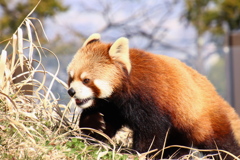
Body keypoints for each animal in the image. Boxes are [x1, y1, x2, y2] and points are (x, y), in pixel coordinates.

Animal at [66, 33, 240, 158]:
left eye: (86, 80)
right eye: (71, 78)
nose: (71, 91)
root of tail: (215, 94)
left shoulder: (149, 99)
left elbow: (152, 131)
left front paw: (139, 153)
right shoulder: (112, 107)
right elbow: (102, 124)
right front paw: (96, 124)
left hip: (203, 119)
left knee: (222, 145)